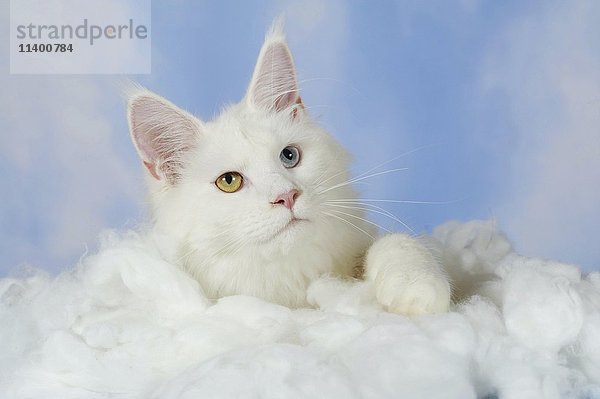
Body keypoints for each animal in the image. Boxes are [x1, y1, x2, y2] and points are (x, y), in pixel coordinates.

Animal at [127, 21, 450, 318]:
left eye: (289, 156)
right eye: (229, 181)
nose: (287, 196)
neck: (293, 284)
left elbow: (398, 243)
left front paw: (417, 289)